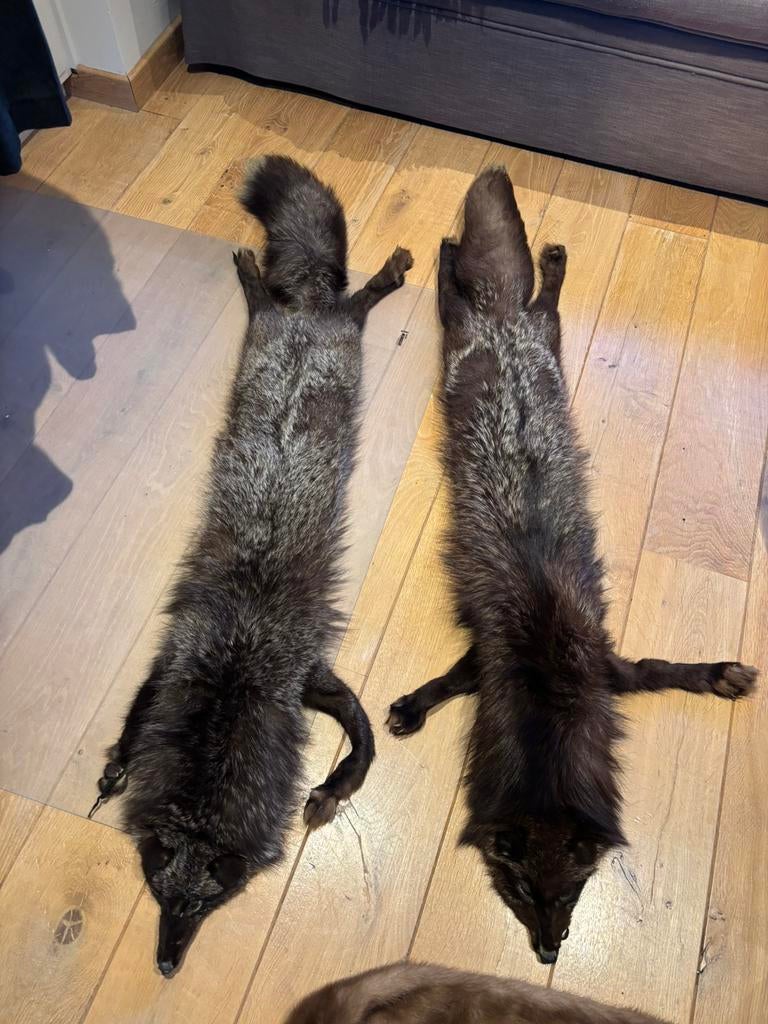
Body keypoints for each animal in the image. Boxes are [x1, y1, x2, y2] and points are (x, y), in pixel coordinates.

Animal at [89, 155, 413, 976]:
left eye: (207, 902)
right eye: (158, 891)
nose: (166, 965)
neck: (235, 671)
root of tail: (305, 314)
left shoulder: (310, 678)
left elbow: (365, 742)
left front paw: (329, 793)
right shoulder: (176, 656)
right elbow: (138, 716)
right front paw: (117, 766)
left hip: (342, 335)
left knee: (357, 302)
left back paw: (374, 279)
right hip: (274, 330)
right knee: (280, 299)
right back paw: (252, 276)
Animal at [388, 167, 757, 964]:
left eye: (575, 889)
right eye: (523, 889)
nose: (551, 953)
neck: (549, 681)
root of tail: (501, 325)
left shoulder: (605, 665)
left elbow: (663, 670)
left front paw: (715, 675)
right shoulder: (493, 652)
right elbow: (452, 679)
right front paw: (415, 705)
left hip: (547, 336)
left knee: (541, 297)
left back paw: (544, 263)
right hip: (465, 329)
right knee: (454, 290)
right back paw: (451, 254)